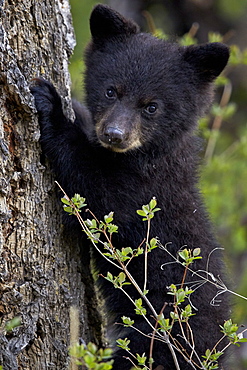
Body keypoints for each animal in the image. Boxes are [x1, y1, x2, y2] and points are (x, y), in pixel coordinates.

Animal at [30, 3, 230, 370]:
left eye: (151, 106)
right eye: (112, 90)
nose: (114, 134)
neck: (147, 156)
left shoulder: (143, 192)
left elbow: (96, 190)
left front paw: (50, 103)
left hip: (154, 343)